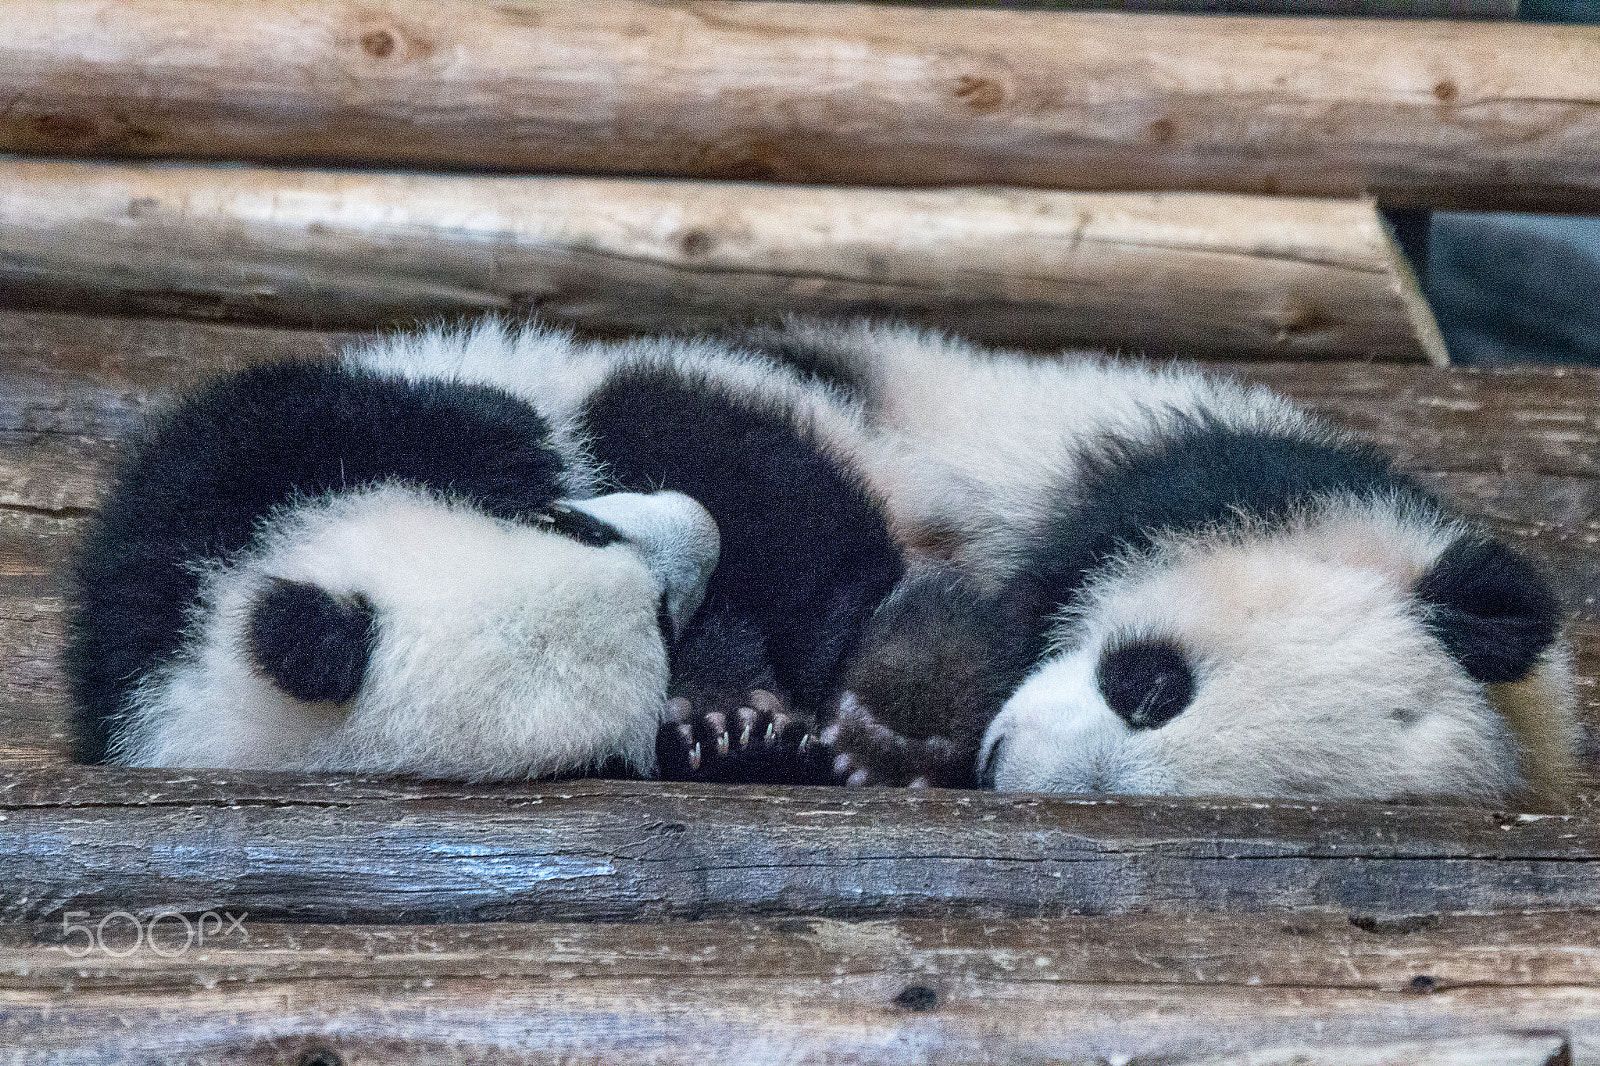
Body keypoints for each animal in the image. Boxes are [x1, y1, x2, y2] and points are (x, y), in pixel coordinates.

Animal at [65, 319, 915, 784]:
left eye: (571, 527)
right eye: (662, 625)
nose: (698, 527)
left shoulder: (149, 577)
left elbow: (276, 425)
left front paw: (511, 444)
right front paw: (725, 734)